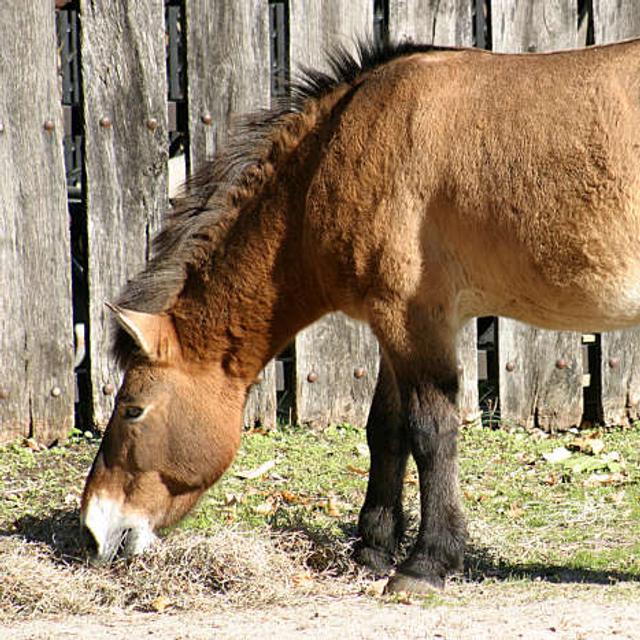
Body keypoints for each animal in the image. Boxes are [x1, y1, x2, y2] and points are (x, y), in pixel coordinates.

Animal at [80, 37, 640, 594]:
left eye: (132, 409)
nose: (92, 530)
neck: (337, 148)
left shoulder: (411, 319)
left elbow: (430, 432)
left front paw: (426, 563)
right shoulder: (392, 327)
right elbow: (385, 431)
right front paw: (373, 548)